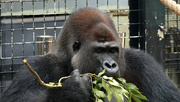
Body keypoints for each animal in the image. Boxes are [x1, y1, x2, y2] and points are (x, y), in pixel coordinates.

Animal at [0, 7, 180, 102]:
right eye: (99, 51)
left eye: (113, 51)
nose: (110, 65)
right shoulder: (38, 66)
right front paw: (69, 91)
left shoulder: (143, 63)